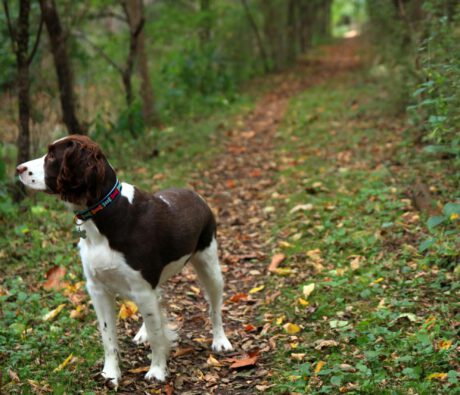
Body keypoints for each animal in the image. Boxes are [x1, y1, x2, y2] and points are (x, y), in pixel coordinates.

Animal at [16, 136, 232, 386]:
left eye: (52, 156)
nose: (18, 168)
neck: (106, 217)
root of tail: (194, 194)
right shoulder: (98, 289)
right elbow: (108, 337)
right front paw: (110, 374)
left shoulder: (142, 288)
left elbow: (158, 336)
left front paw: (157, 371)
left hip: (209, 265)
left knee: (214, 307)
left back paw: (220, 341)